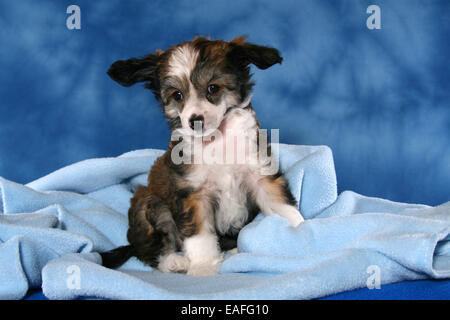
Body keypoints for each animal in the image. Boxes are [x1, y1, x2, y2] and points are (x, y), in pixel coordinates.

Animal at [100, 34, 304, 276]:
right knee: (149, 250)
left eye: (213, 88)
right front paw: (205, 267)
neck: (217, 141)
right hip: (148, 203)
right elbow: (200, 236)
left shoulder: (260, 174)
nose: (194, 120)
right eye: (177, 95)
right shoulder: (193, 193)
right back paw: (173, 261)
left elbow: (282, 205)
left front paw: (303, 232)